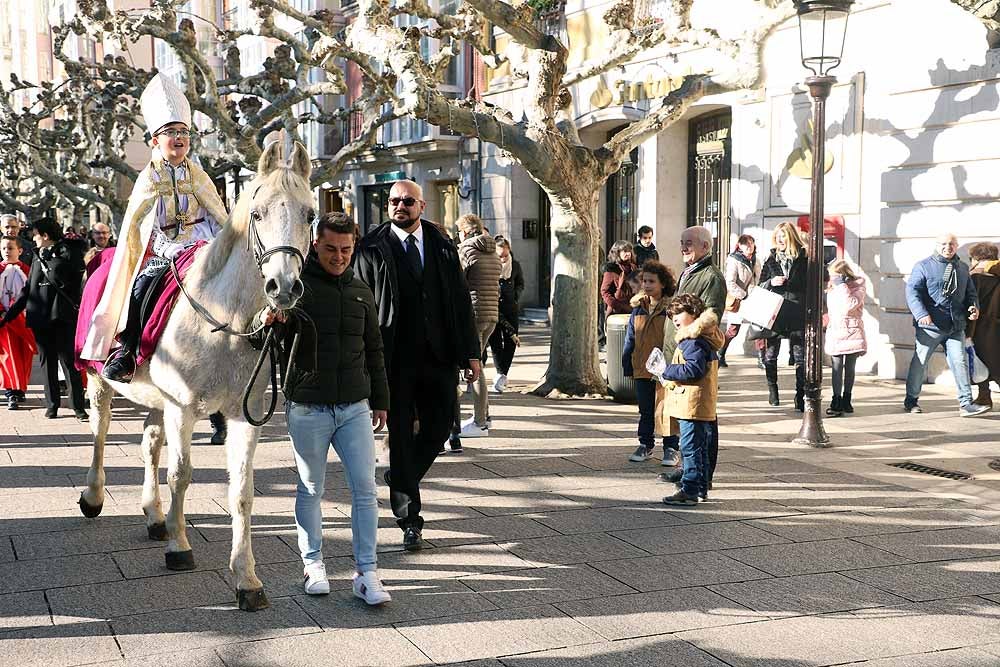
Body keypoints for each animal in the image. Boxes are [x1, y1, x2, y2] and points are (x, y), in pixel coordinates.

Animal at [78, 141, 312, 612]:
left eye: (310, 214)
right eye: (257, 212)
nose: (283, 287)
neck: (223, 319)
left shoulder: (243, 415)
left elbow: (241, 490)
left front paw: (247, 579)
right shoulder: (182, 407)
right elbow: (181, 474)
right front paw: (179, 547)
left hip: (158, 401)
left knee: (149, 444)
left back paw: (154, 515)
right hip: (101, 382)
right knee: (100, 433)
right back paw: (94, 497)